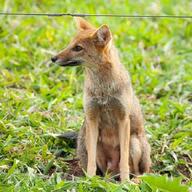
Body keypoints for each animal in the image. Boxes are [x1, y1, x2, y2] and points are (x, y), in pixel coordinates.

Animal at [51, 18, 152, 182]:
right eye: (70, 44)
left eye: (78, 48)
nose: (53, 58)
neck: (103, 90)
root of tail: (112, 172)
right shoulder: (92, 118)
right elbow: (91, 163)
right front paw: (89, 181)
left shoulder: (123, 119)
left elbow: (124, 162)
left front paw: (125, 182)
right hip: (89, 141)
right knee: (104, 171)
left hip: (134, 143)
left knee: (141, 172)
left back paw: (132, 181)